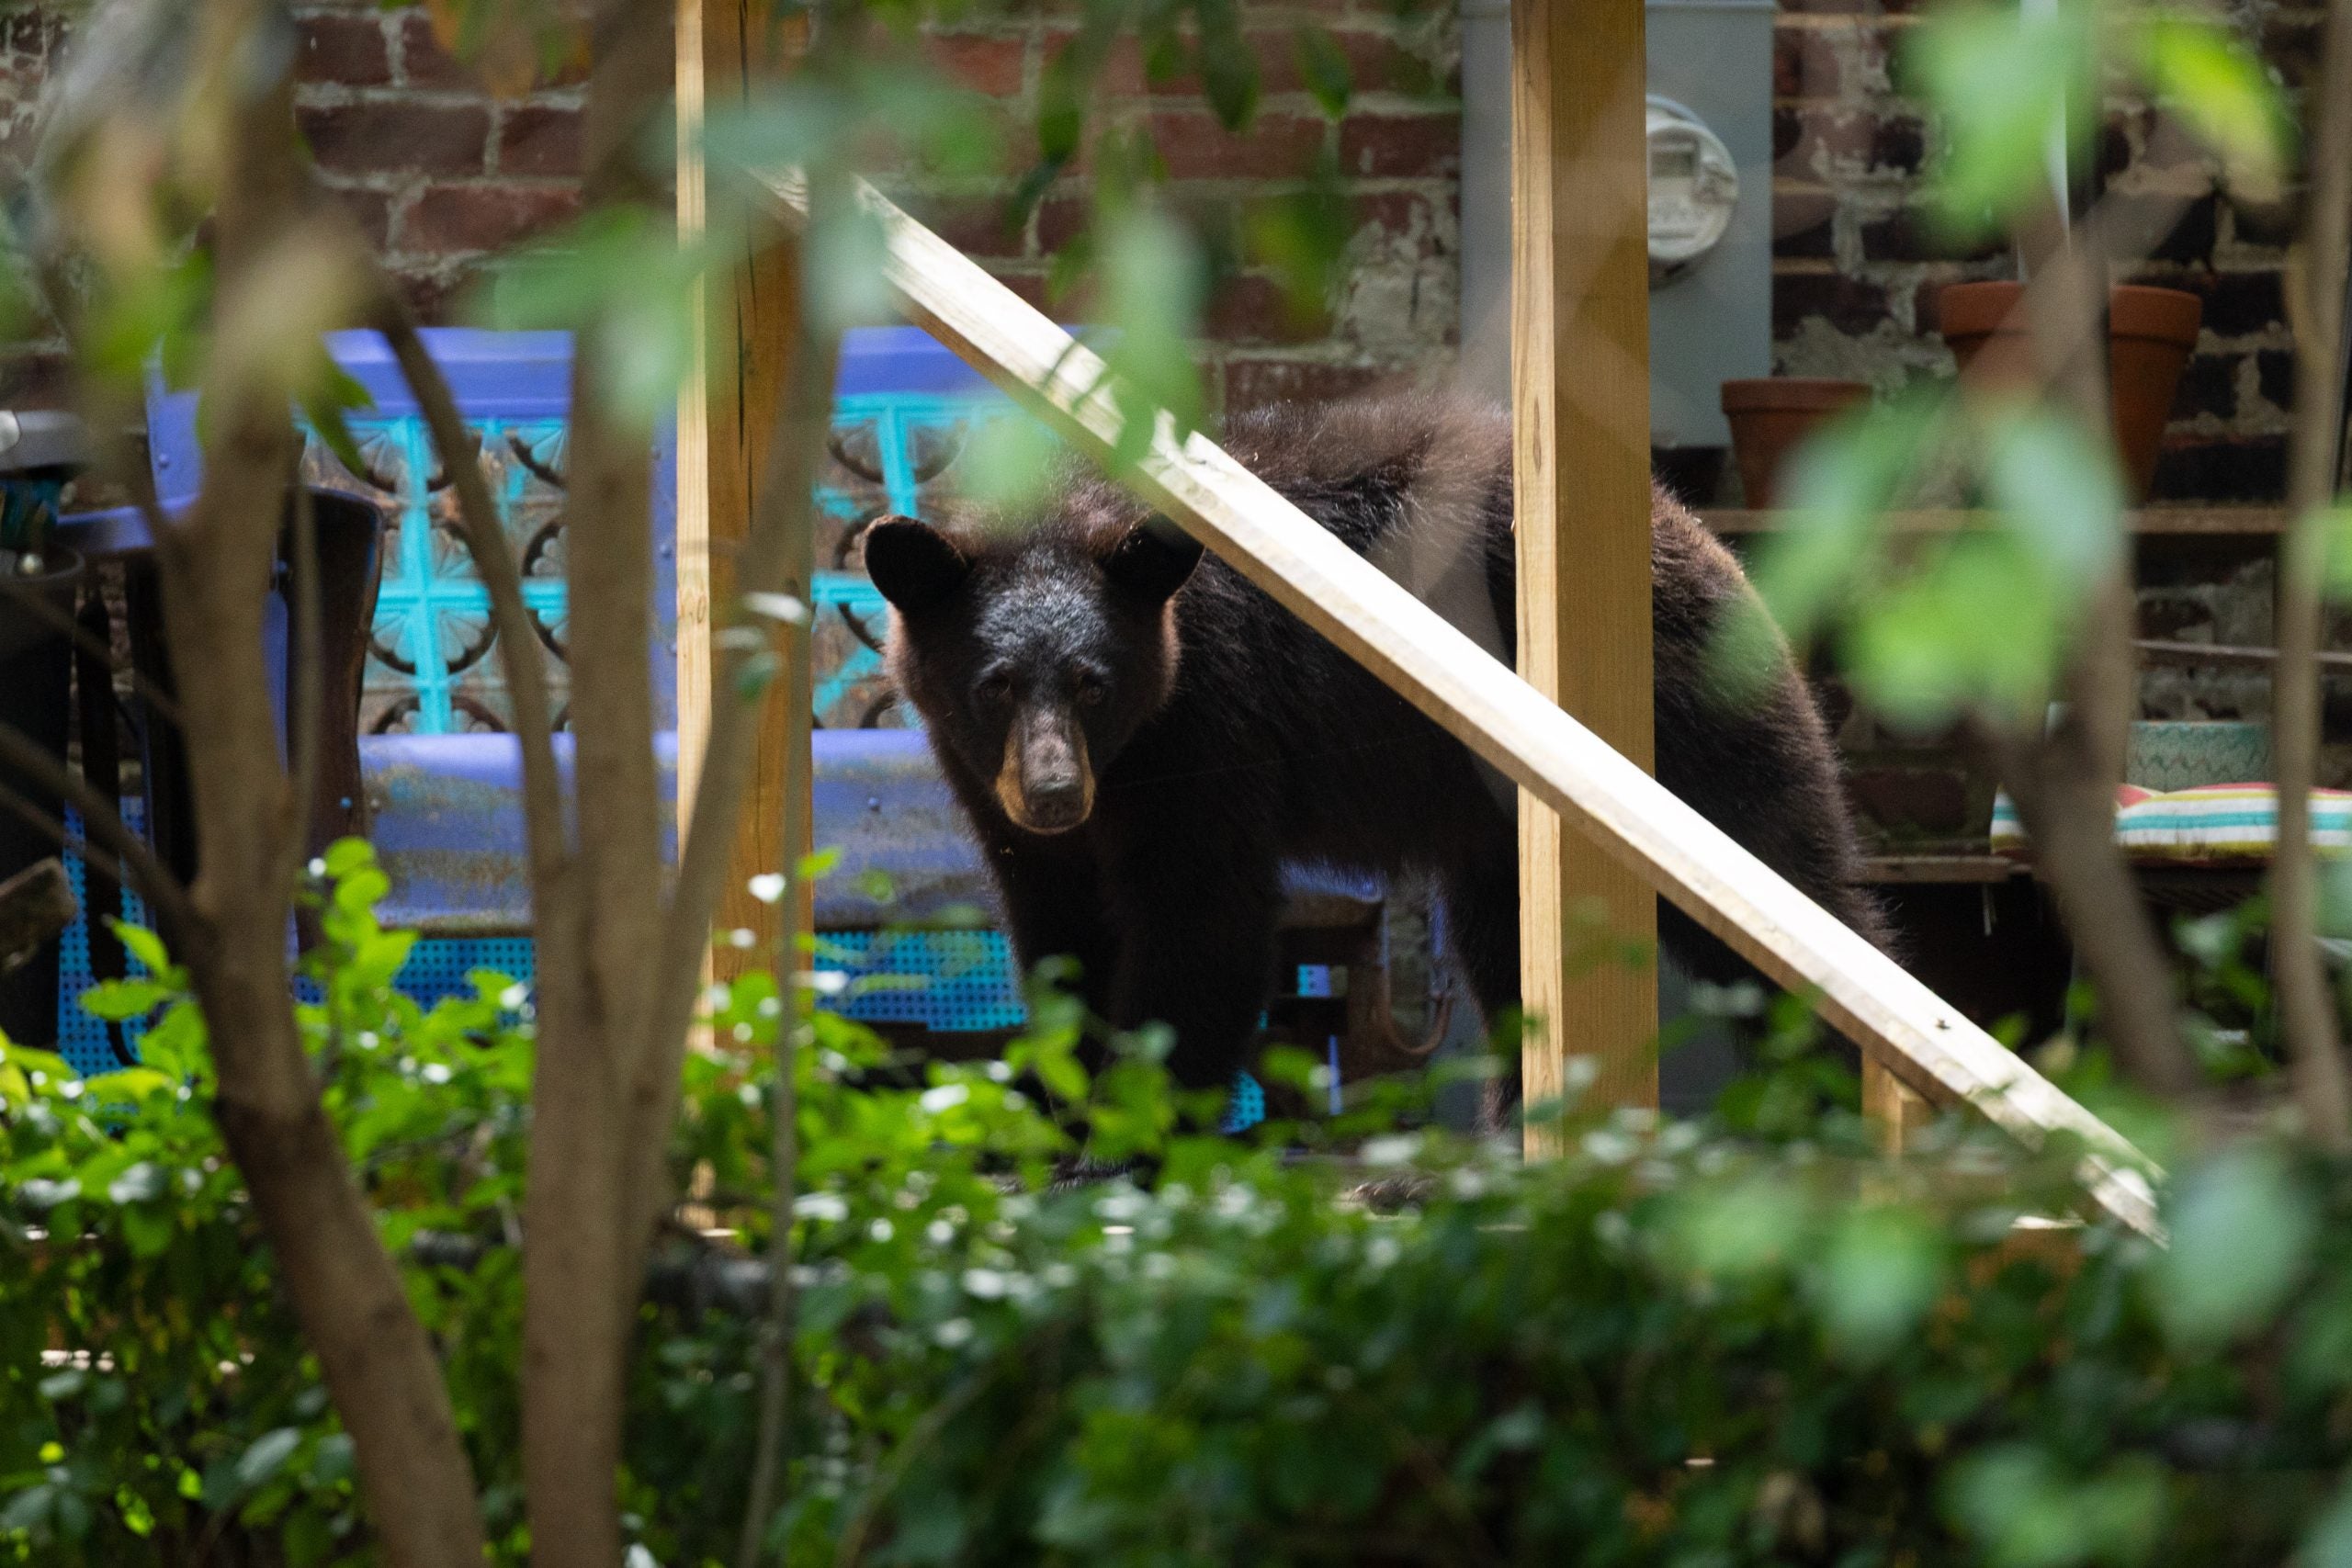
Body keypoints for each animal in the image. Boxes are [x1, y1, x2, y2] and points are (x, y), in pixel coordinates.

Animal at [864, 391, 1891, 1096]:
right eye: (994, 684)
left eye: (1093, 682)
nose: (1052, 796)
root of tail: (1688, 525)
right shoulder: (980, 778)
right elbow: (1057, 931)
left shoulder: (1210, 733)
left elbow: (1199, 924)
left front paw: (1128, 1141)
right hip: (1500, 826)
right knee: (1510, 964)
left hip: (1689, 728)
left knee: (1788, 890)